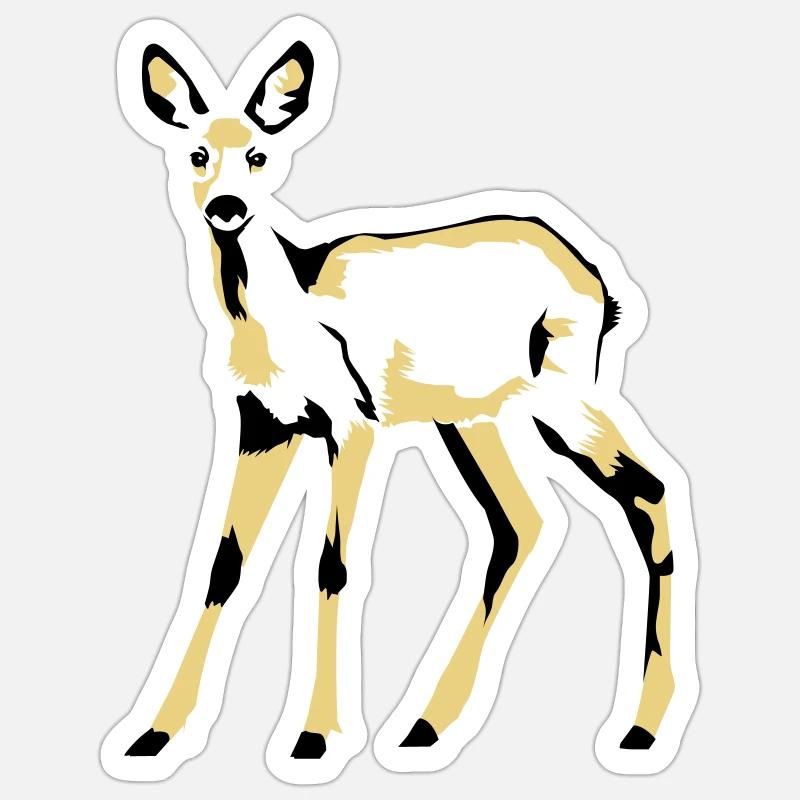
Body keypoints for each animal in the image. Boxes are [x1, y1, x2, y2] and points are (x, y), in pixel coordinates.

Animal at [101, 16, 699, 784]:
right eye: (196, 151)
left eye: (261, 154)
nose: (227, 208)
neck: (283, 316)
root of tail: (602, 282)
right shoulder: (261, 423)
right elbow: (221, 566)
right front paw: (152, 737)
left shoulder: (351, 419)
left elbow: (331, 564)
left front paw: (313, 739)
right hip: (472, 416)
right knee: (524, 523)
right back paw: (424, 727)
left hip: (560, 392)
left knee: (648, 488)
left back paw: (639, 731)